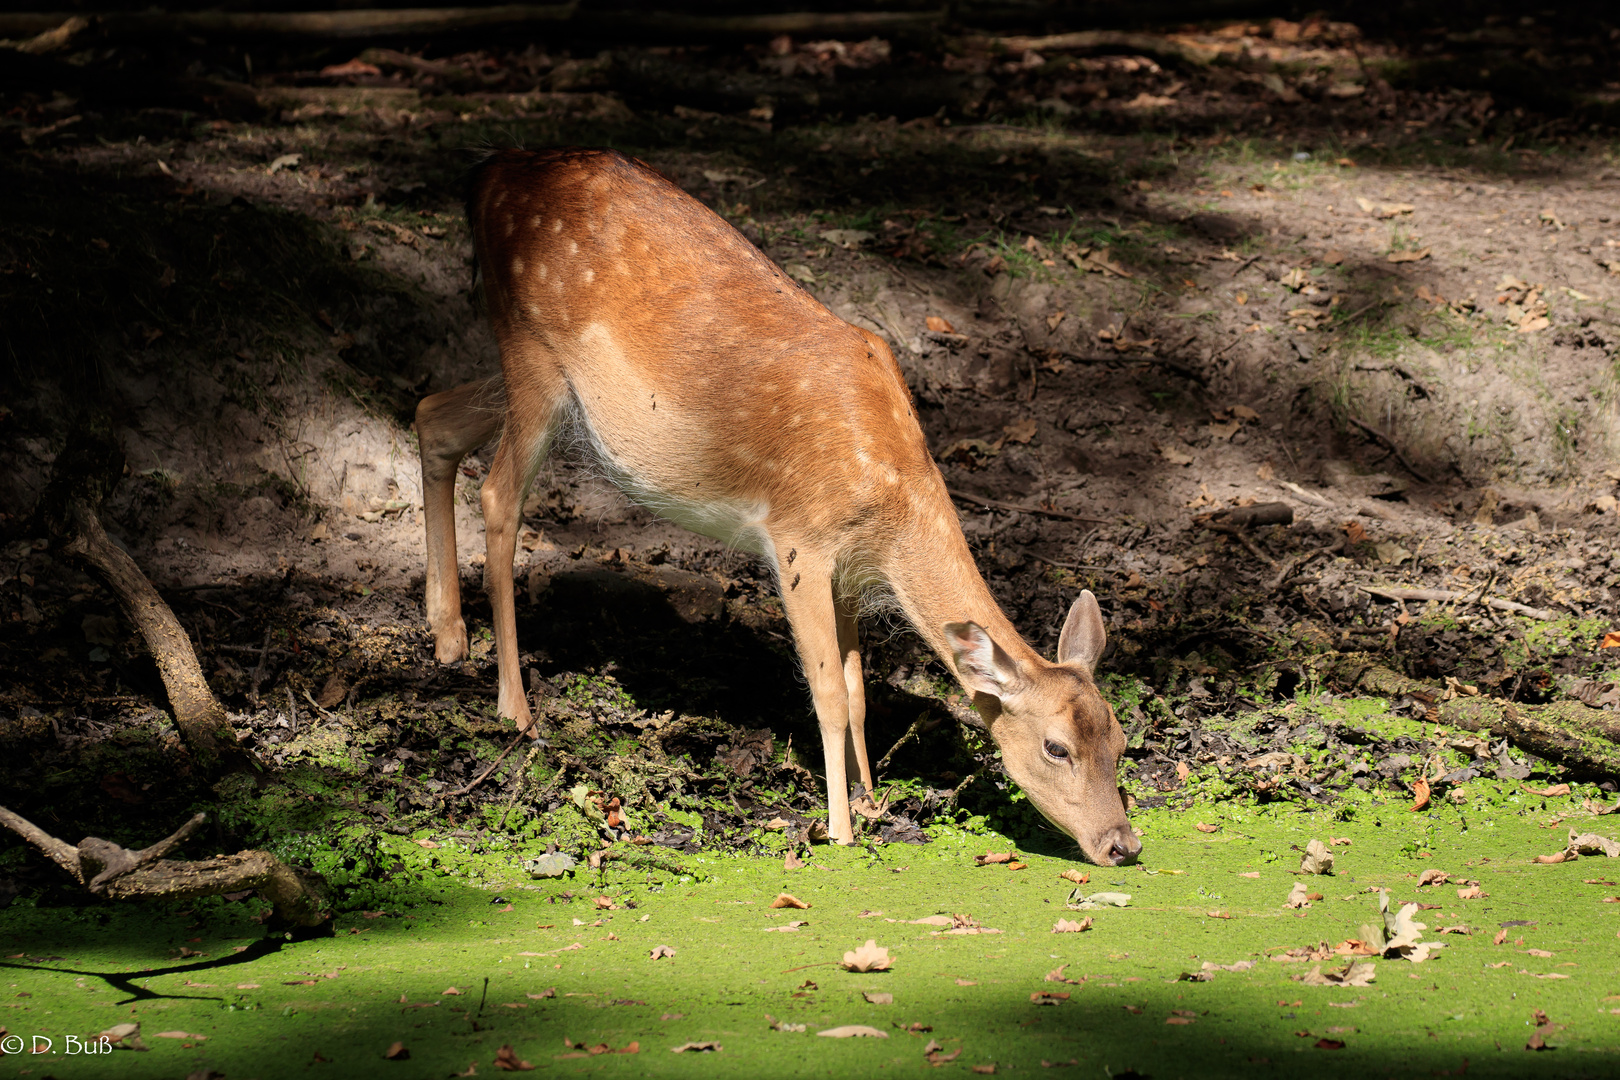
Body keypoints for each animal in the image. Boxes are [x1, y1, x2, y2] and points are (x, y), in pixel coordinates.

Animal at [411, 145, 1134, 867]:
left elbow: (859, 690)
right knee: (498, 493)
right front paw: (840, 828)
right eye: (1057, 748)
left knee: (431, 412)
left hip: (537, 378)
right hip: (534, 352)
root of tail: (486, 176)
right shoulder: (798, 538)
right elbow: (829, 693)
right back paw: (514, 706)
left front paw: (872, 800)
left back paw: (448, 636)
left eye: (1122, 740)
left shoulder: (849, 570)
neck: (891, 502)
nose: (1122, 845)